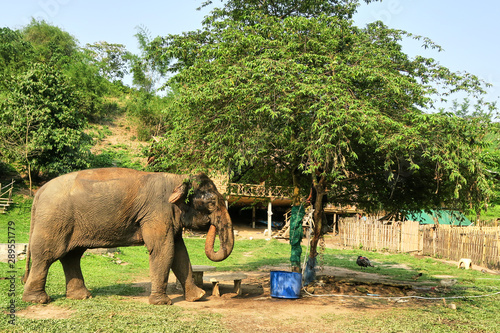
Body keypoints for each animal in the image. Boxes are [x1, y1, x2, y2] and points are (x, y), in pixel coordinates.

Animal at [21, 167, 234, 304]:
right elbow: (163, 250)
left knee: (71, 256)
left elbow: (181, 254)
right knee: (47, 256)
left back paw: (82, 296)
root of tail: (38, 192)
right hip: (53, 220)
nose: (211, 225)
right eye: (212, 203)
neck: (178, 178)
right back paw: (38, 300)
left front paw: (197, 297)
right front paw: (162, 303)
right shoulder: (157, 212)